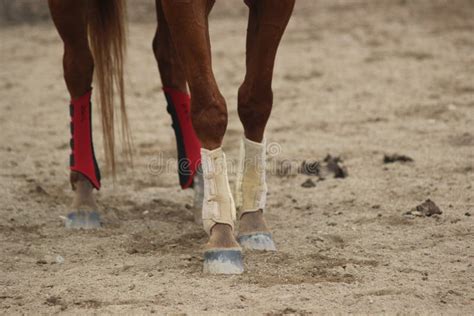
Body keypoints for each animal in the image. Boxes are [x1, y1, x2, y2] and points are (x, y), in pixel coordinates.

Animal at [46, 0, 294, 274]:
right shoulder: (185, 5)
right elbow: (209, 110)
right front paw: (222, 236)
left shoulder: (276, 5)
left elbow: (256, 101)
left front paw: (253, 222)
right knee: (78, 66)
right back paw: (83, 197)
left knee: (169, 58)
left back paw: (198, 183)